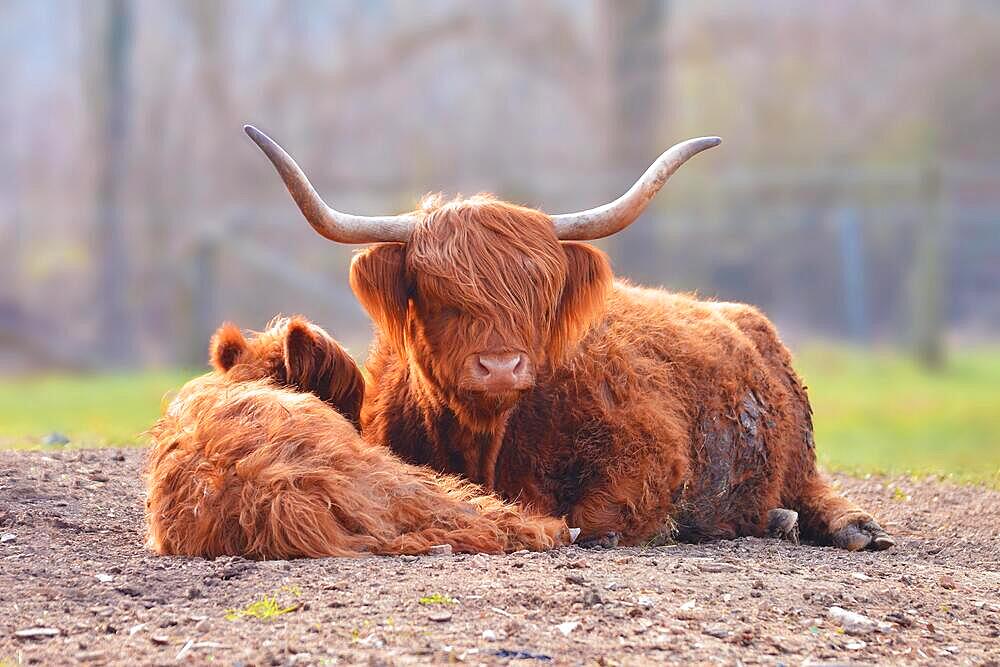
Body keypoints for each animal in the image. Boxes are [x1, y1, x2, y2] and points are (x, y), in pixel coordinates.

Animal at [246, 125, 896, 552]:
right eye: (438, 293)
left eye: (540, 293)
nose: (501, 367)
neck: (485, 439)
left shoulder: (652, 455)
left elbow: (598, 521)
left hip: (798, 452)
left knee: (812, 489)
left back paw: (852, 527)